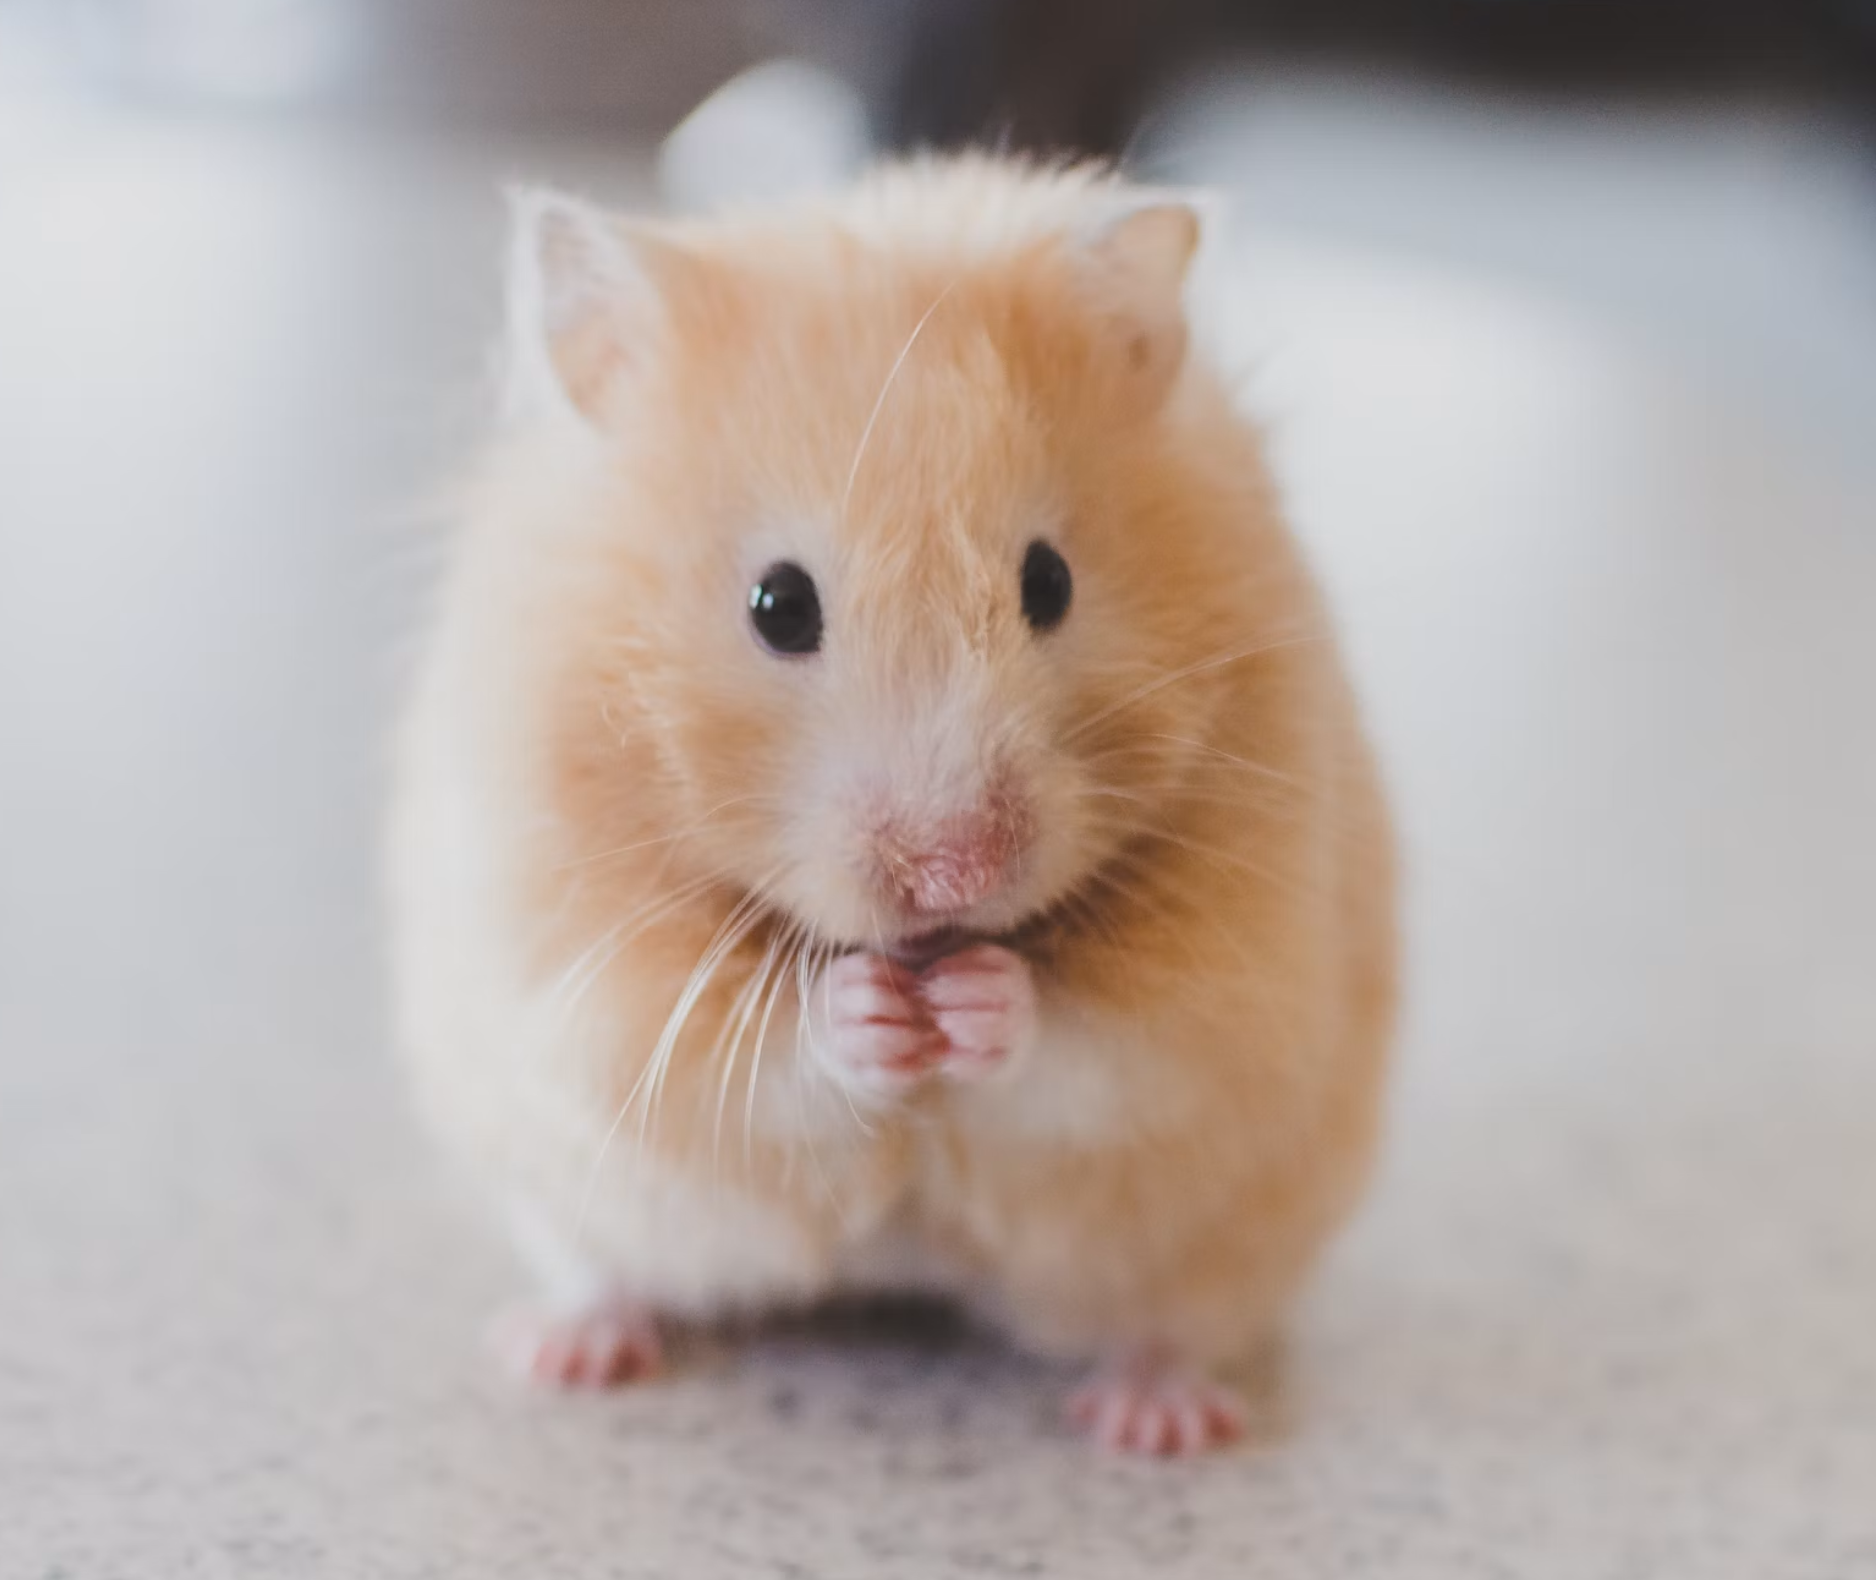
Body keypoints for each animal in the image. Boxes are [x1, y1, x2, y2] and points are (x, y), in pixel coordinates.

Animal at [387, 155, 1396, 1456]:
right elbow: (749, 1049)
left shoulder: (1237, 979)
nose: (955, 873)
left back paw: (1156, 1421)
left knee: (1173, 1323)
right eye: (778, 604)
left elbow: (1103, 1045)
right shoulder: (580, 966)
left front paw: (975, 1001)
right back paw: (563, 1350)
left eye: (1049, 581)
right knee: (605, 1270)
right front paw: (869, 1010)